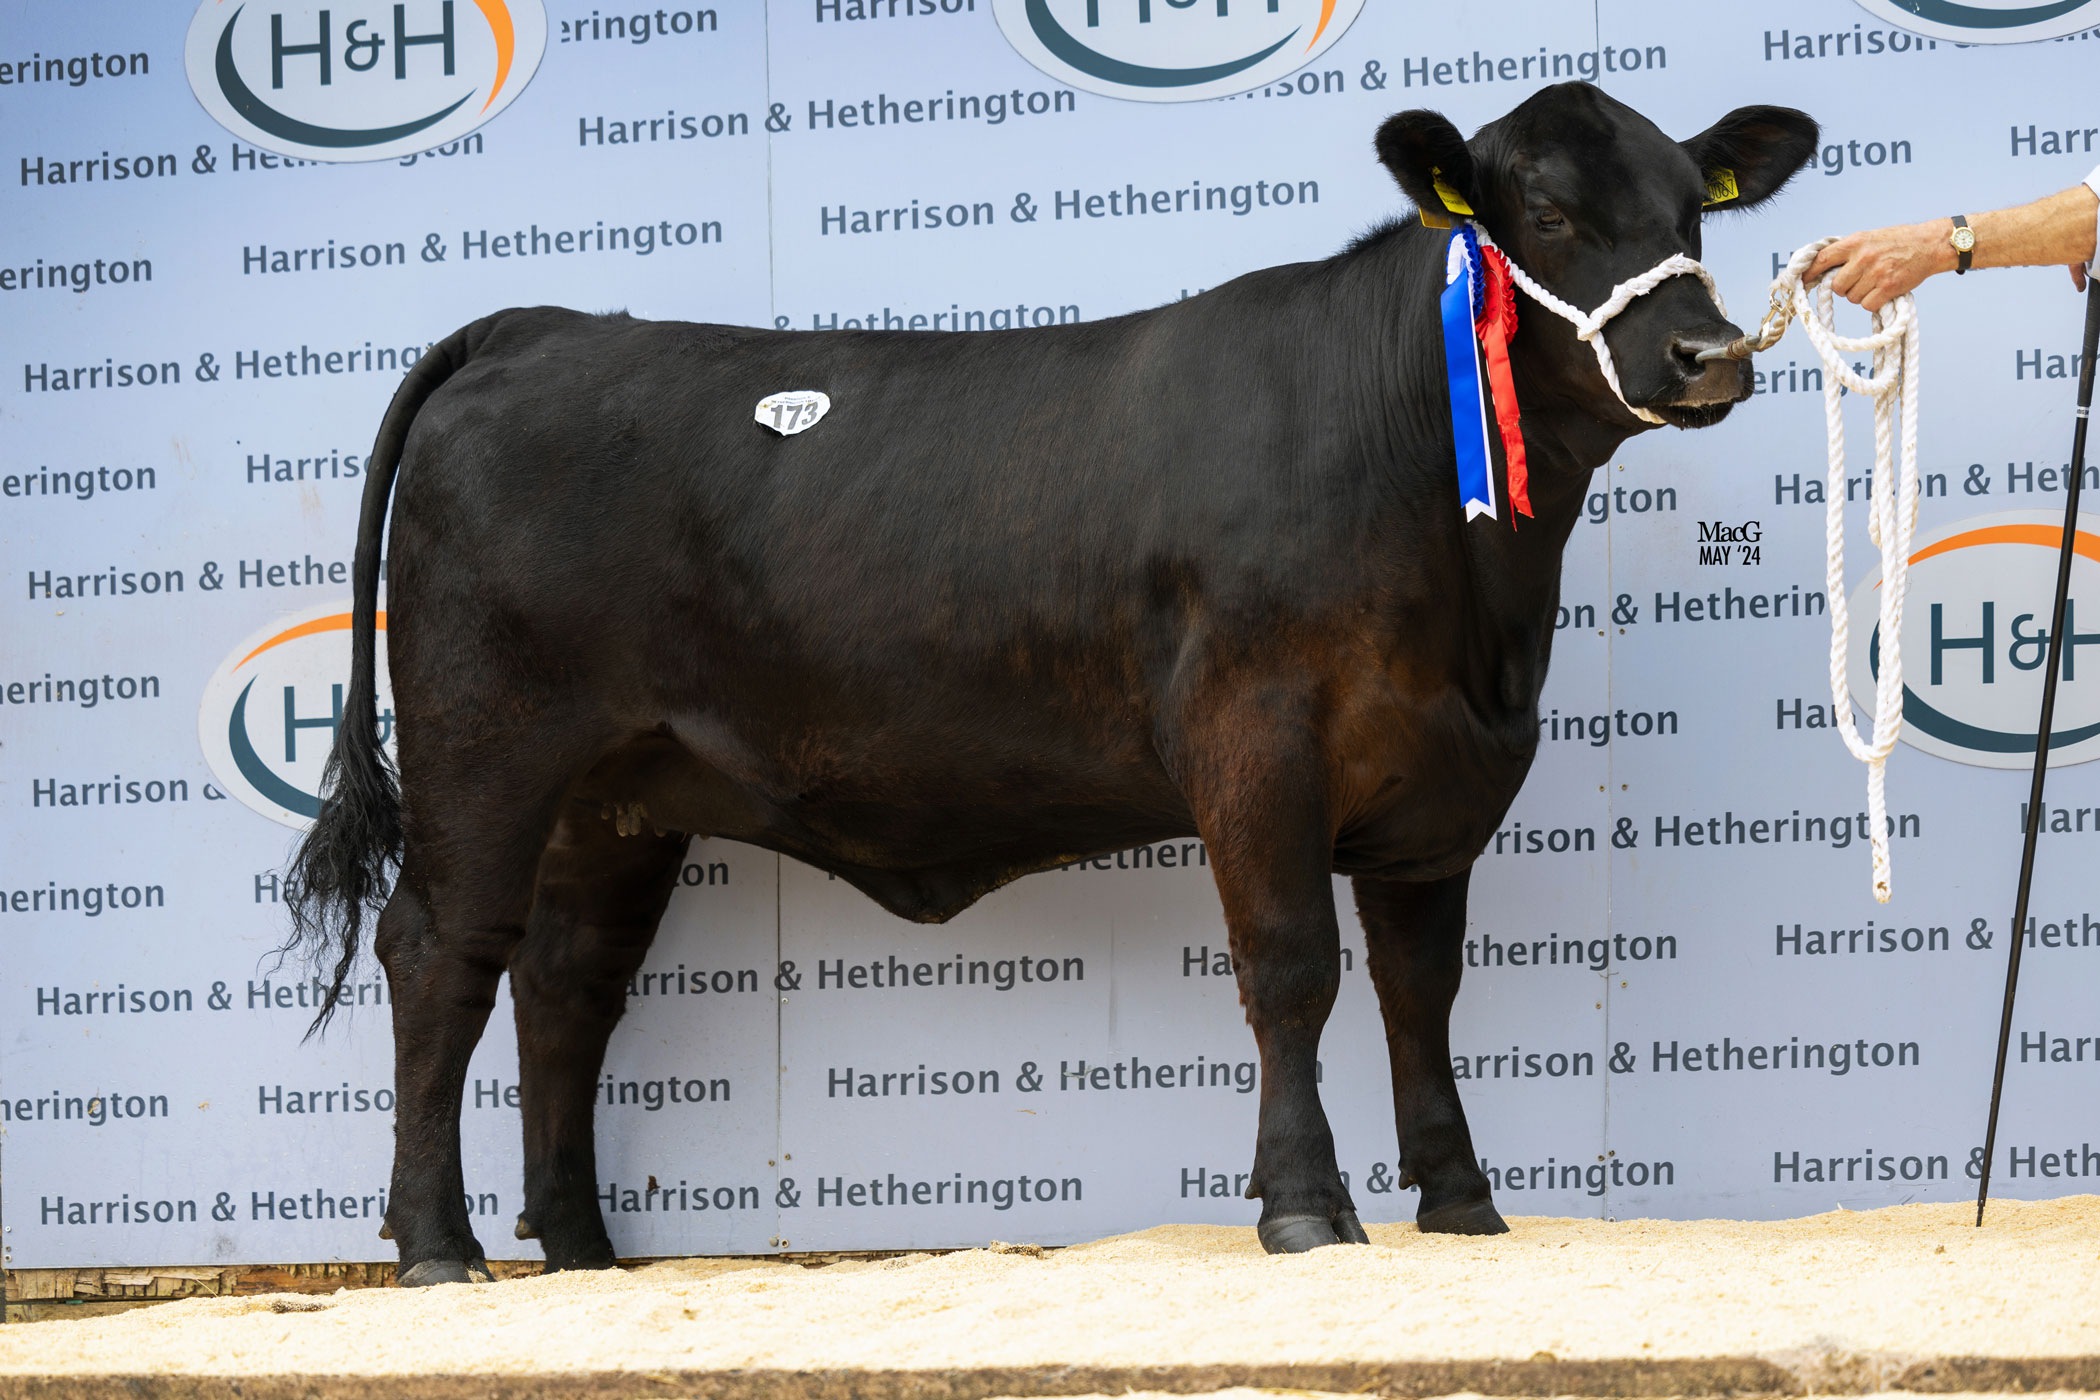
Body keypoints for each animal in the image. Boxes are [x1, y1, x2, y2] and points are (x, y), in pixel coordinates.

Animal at [287, 82, 1814, 1284]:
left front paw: (1461, 1203)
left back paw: (583, 1249)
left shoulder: (1439, 782)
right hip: (489, 742)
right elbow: (1293, 967)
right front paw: (1304, 1207)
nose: (1706, 354)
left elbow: (1418, 991)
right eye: (1544, 213)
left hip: (614, 798)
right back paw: (439, 1246)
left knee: (564, 985)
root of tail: (537, 325)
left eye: (1695, 213)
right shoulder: (1256, 737)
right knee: (439, 954)